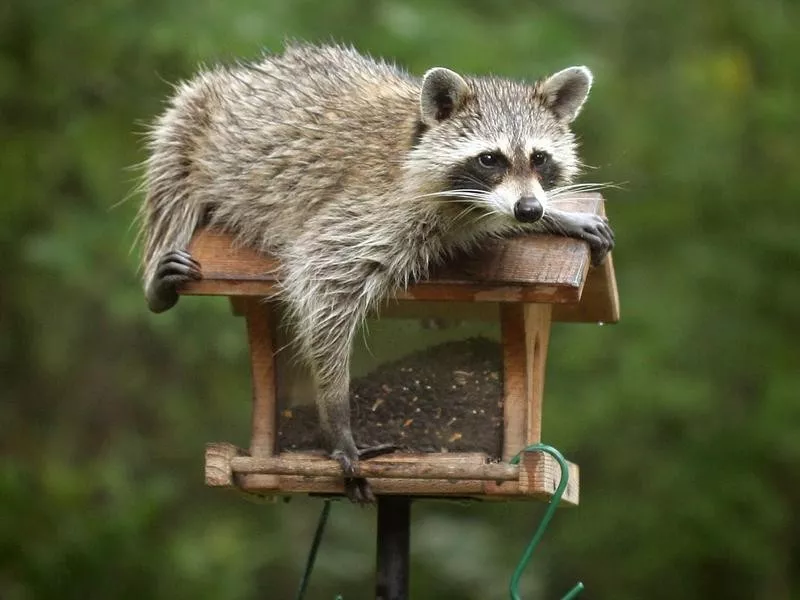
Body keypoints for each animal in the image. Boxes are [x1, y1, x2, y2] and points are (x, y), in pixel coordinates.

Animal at [139, 42, 612, 502]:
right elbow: (322, 279)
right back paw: (158, 279)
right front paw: (336, 413)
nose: (528, 210)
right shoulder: (371, 209)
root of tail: (244, 73)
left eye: (539, 158)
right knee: (170, 185)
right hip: (190, 123)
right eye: (489, 159)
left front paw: (554, 215)